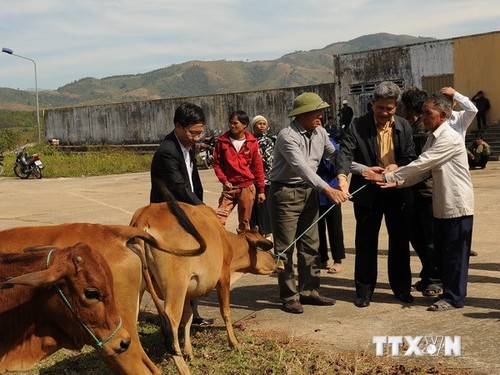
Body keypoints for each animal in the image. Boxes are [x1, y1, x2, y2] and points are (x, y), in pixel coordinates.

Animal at [131, 204, 284, 374]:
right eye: (266, 249)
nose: (280, 263)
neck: (226, 240)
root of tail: (144, 216)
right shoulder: (223, 277)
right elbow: (225, 312)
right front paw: (234, 342)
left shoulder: (188, 291)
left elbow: (189, 317)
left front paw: (189, 352)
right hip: (175, 286)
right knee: (171, 323)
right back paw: (183, 368)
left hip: (141, 288)